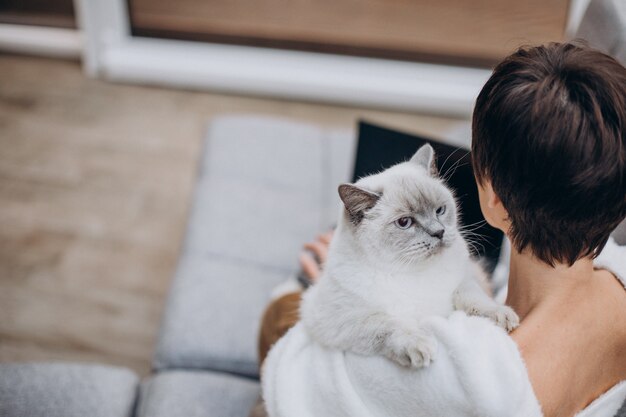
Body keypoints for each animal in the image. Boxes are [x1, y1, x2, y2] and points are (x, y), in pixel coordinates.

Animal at [298, 144, 516, 368]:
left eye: (440, 210)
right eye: (405, 223)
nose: (439, 232)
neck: (413, 271)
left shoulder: (464, 281)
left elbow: (476, 299)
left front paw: (500, 314)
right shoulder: (341, 317)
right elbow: (388, 324)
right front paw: (419, 345)